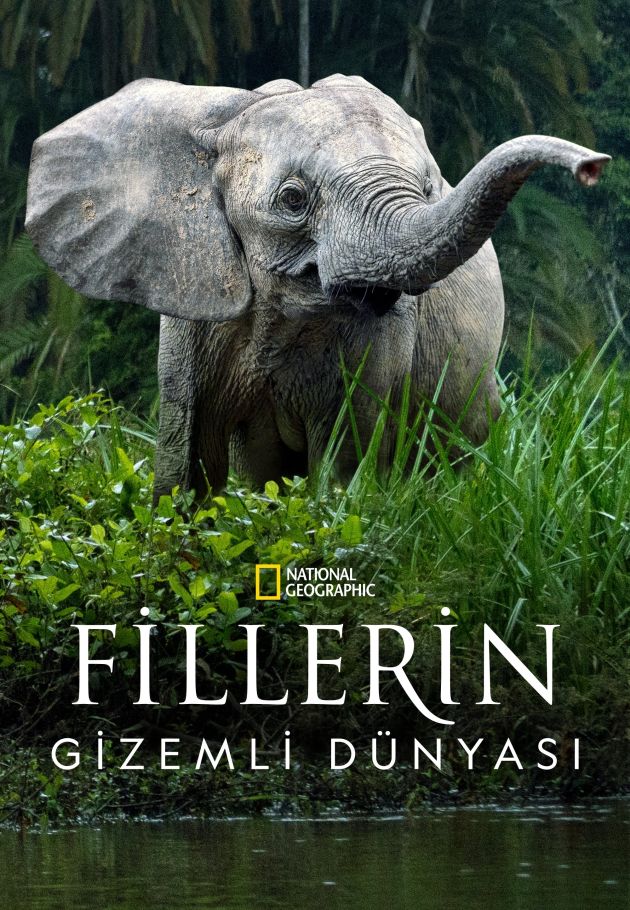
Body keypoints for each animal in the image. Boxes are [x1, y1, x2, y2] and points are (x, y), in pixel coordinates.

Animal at [25, 75, 609, 498]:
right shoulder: (191, 300)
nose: (593, 166)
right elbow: (187, 459)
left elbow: (344, 456)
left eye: (428, 189)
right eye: (292, 199)